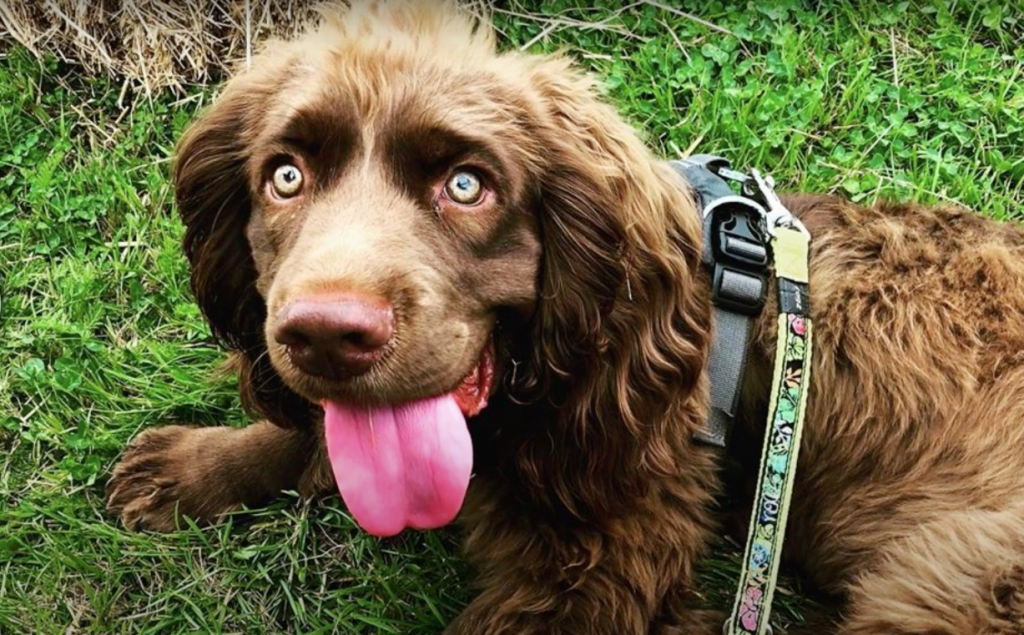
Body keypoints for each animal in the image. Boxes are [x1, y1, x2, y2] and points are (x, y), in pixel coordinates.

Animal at [105, 2, 1024, 630]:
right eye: (285, 176)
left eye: (467, 185)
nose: (327, 333)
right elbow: (322, 434)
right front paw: (191, 466)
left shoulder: (600, 559)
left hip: (956, 579)